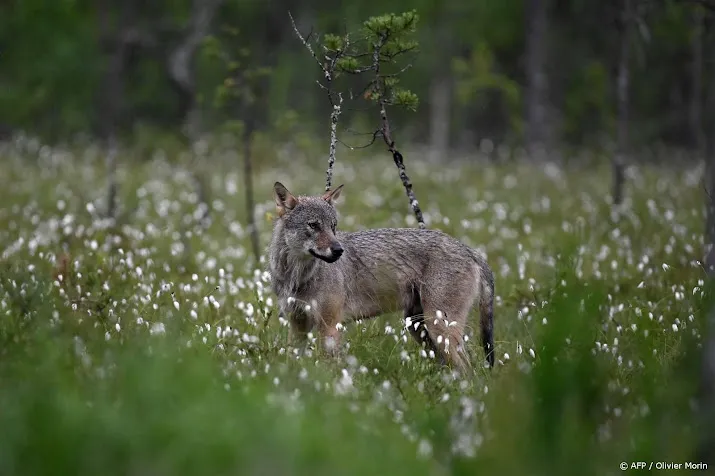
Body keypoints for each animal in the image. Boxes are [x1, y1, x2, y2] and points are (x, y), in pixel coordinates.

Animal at [266, 181, 496, 372]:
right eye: (314, 225)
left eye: (333, 226)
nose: (339, 250)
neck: (296, 276)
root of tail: (471, 251)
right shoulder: (298, 325)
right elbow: (292, 363)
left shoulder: (330, 326)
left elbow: (329, 369)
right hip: (420, 330)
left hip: (439, 331)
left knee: (471, 371)